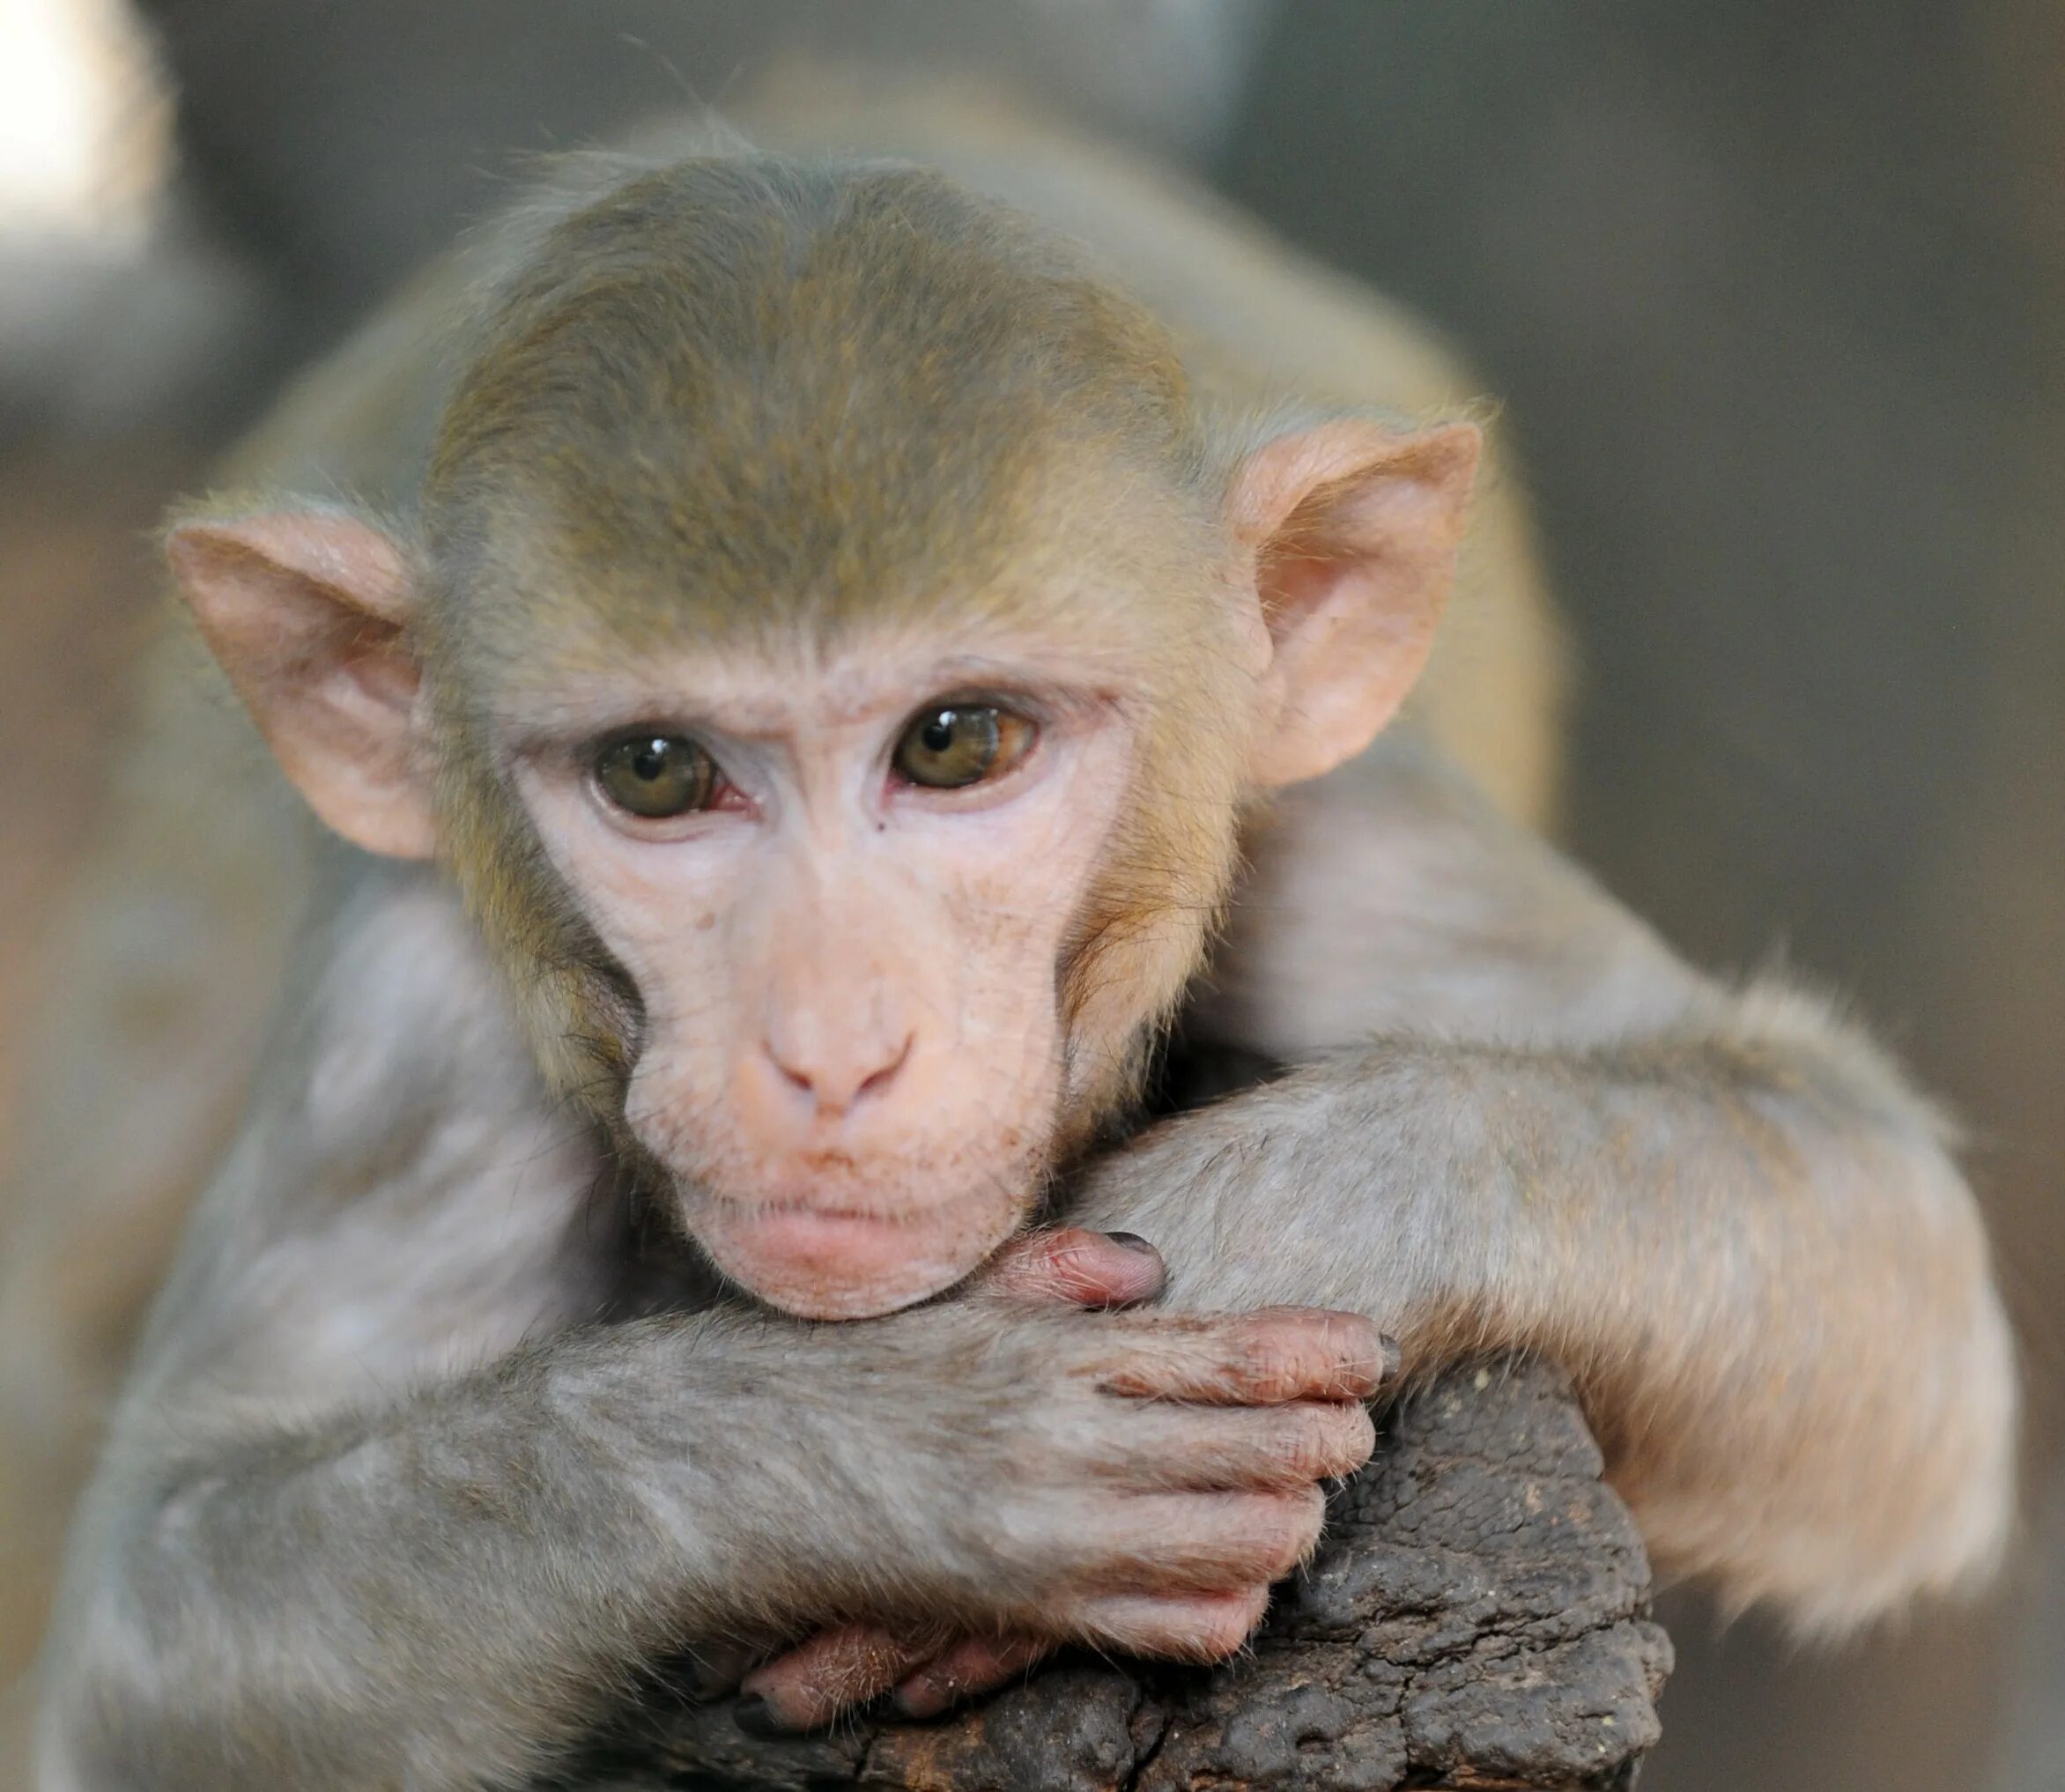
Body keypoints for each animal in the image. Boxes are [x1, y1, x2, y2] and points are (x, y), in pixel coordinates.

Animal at [24, 91, 2007, 1783]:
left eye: (953, 743)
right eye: (657, 774)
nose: (832, 1048)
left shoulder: (1326, 820)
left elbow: (1872, 1230)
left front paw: (1213, 1239)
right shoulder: (418, 982)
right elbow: (150, 1627)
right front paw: (926, 1445)